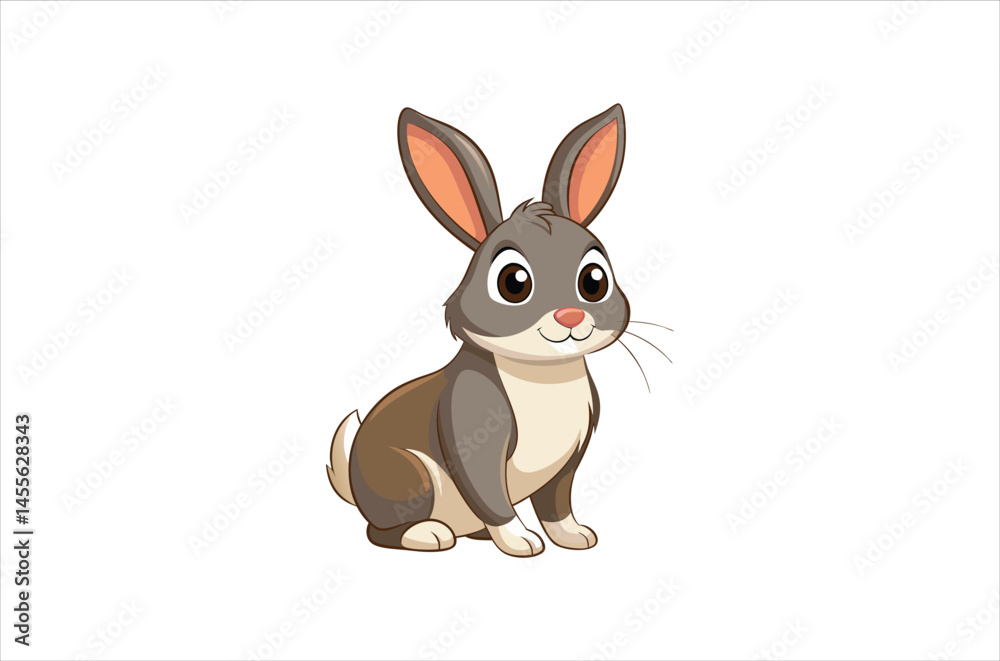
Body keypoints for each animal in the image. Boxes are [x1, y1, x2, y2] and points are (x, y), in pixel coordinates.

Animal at [327, 104, 630, 557]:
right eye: (513, 283)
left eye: (594, 280)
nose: (570, 317)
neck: (541, 374)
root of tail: (354, 487)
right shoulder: (473, 438)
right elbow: (492, 497)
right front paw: (521, 541)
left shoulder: (569, 460)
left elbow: (557, 502)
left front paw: (574, 537)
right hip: (411, 476)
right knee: (381, 531)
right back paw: (430, 534)